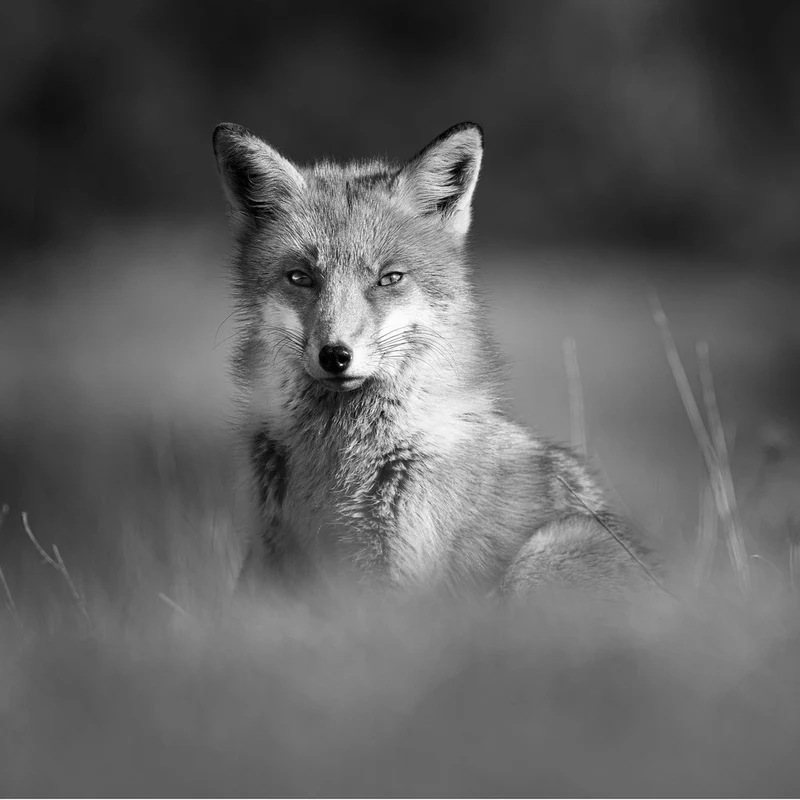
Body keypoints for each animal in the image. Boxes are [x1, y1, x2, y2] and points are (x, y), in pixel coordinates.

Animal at [212, 121, 659, 599]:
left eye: (389, 278)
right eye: (300, 277)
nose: (335, 355)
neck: (341, 458)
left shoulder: (400, 572)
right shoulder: (270, 552)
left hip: (545, 555)